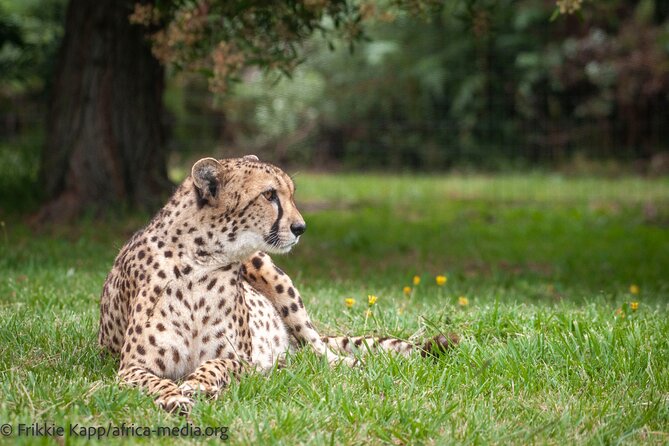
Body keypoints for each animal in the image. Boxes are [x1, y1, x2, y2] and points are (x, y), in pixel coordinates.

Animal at [98, 155, 458, 414]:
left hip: (269, 270)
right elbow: (156, 383)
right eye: (269, 195)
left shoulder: (240, 359)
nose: (301, 227)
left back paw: (347, 366)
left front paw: (198, 385)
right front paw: (175, 397)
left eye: (290, 194)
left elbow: (215, 364)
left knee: (320, 351)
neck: (202, 262)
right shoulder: (130, 368)